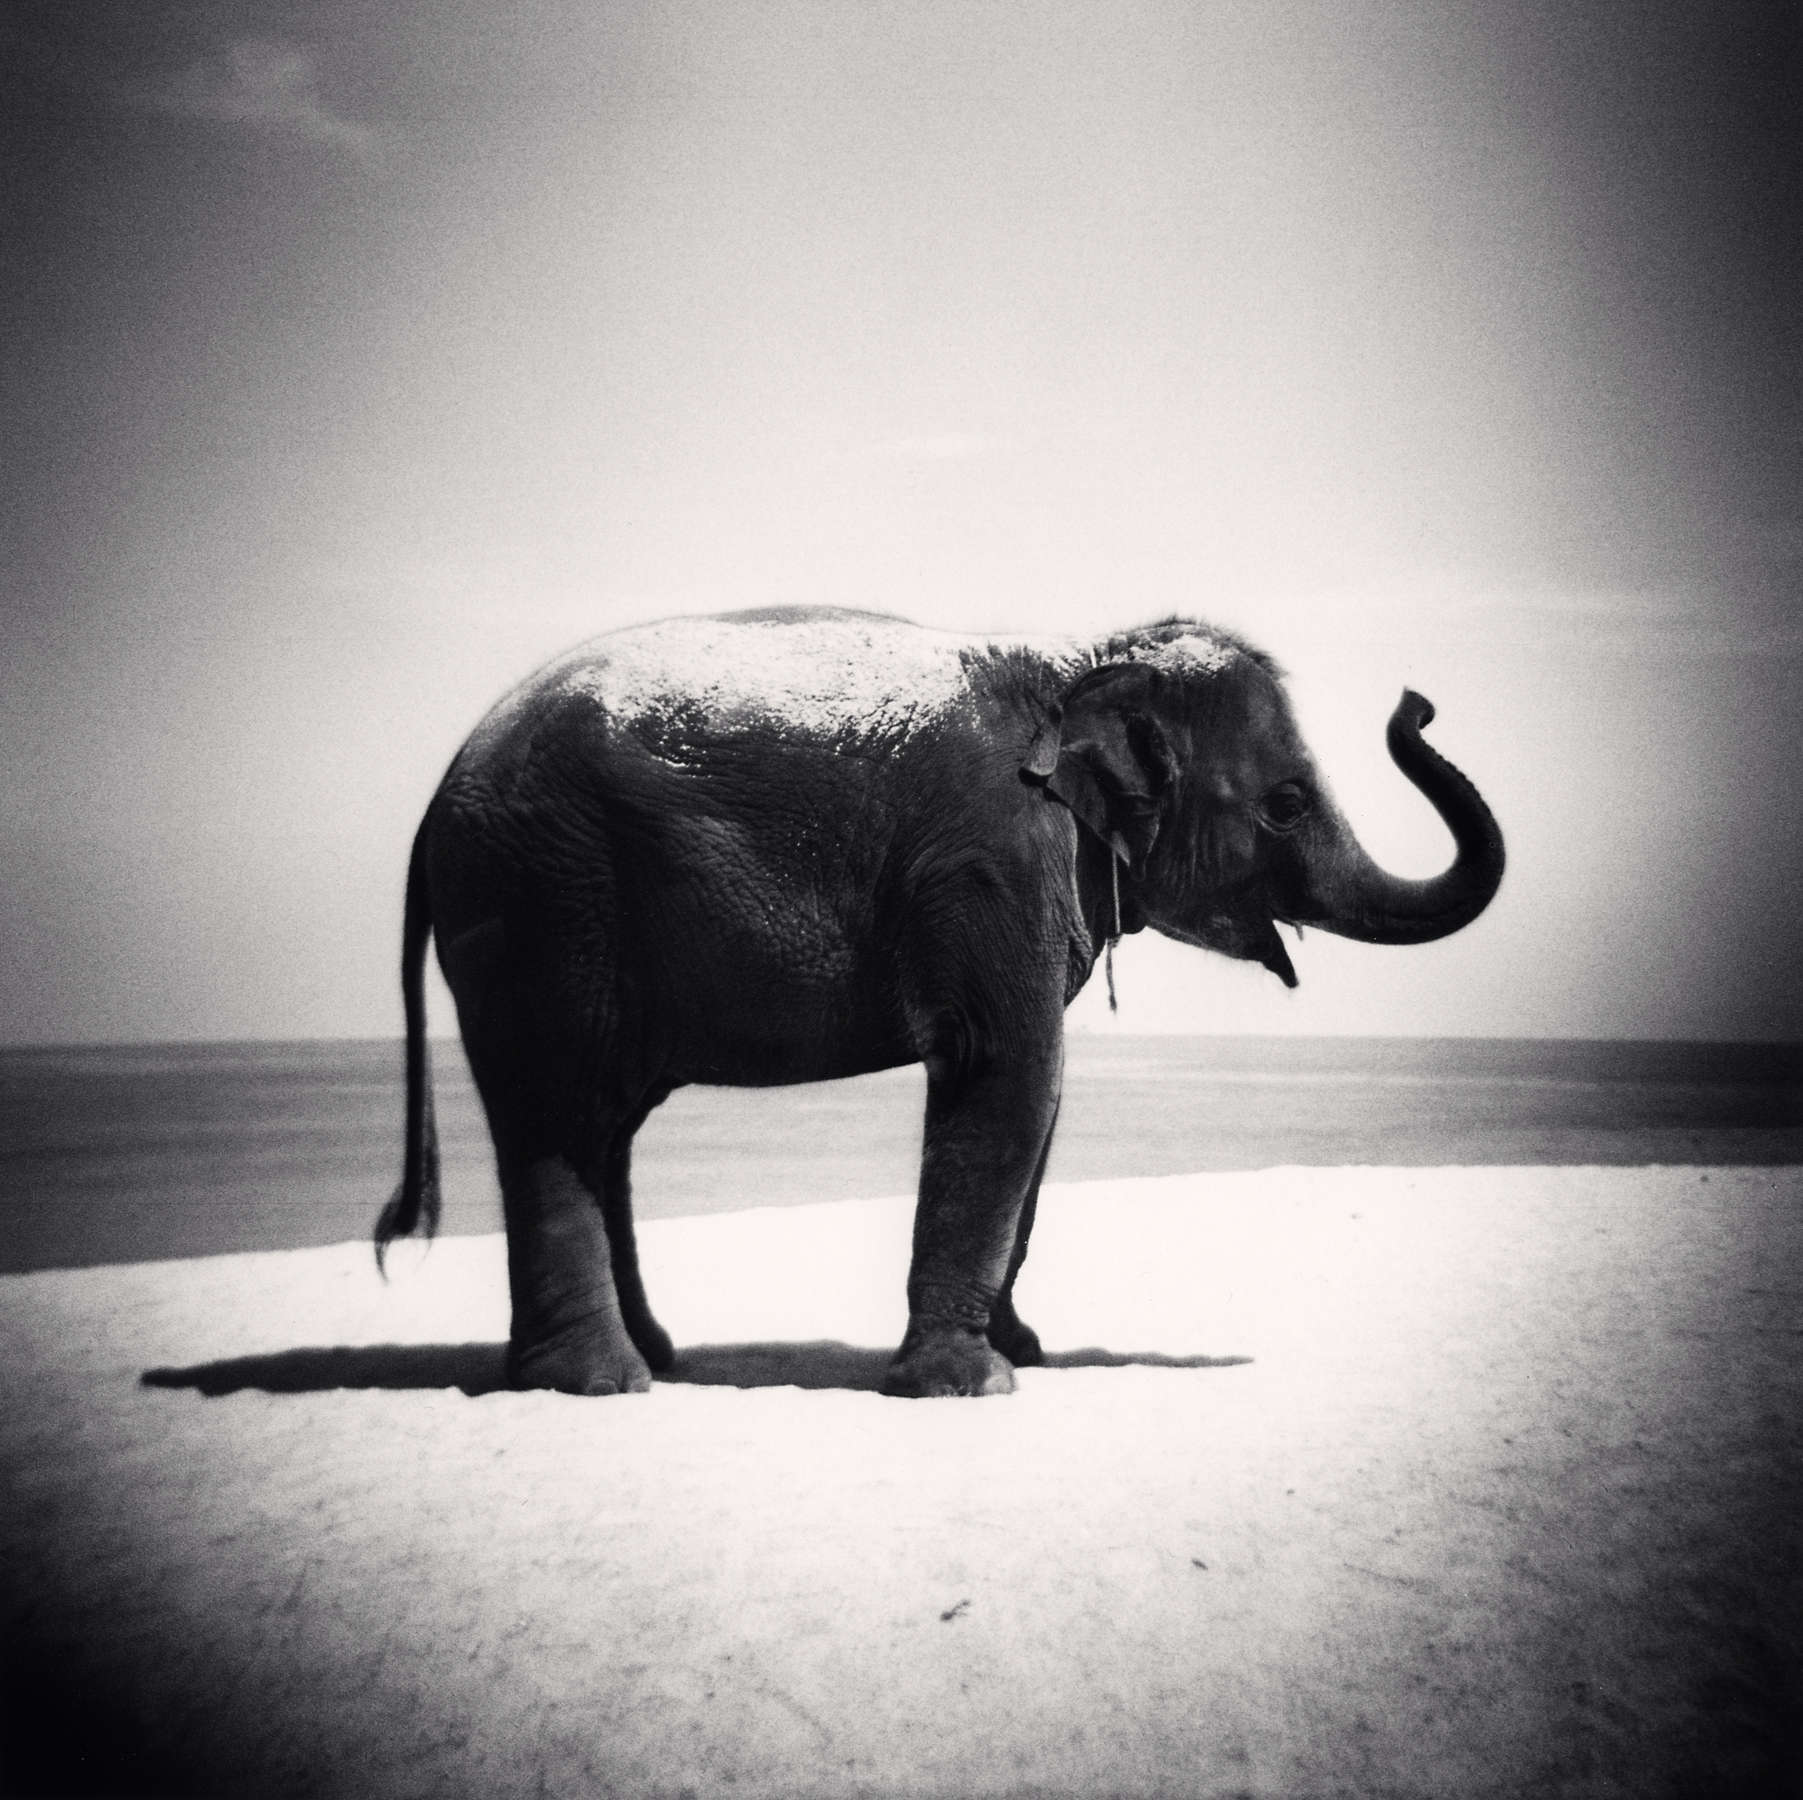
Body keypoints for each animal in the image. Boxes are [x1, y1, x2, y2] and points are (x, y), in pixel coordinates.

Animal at [377, 606, 1504, 1397]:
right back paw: (603, 1383)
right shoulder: (991, 861)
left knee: (601, 1121)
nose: (1417, 703)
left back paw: (655, 1358)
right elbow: (1010, 1075)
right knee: (559, 1113)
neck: (1080, 659)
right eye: (1286, 803)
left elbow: (1038, 1106)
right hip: (544, 907)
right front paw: (971, 1387)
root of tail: (436, 793)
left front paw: (1024, 1354)